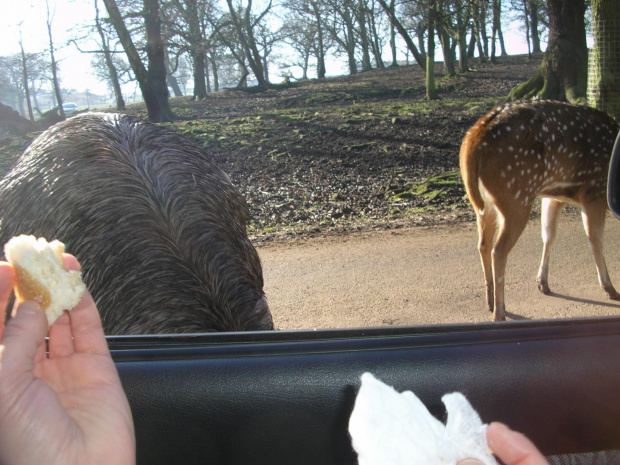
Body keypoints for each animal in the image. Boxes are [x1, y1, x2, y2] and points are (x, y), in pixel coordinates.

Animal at [460, 100, 620, 320]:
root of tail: (471, 141)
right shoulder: (593, 192)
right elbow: (594, 239)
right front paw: (610, 288)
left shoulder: (554, 196)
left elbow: (548, 235)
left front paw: (543, 283)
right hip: (516, 196)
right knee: (498, 250)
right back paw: (499, 313)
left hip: (485, 205)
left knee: (483, 244)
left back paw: (491, 303)